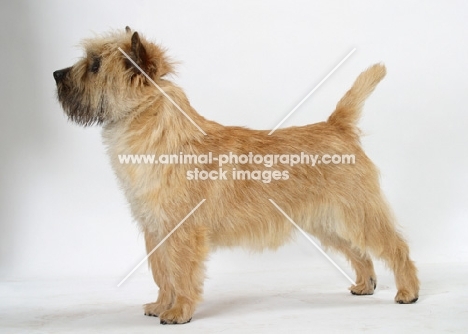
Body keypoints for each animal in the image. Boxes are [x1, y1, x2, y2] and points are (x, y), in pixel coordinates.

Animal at [54, 27, 420, 324]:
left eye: (95, 64)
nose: (56, 73)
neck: (159, 134)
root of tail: (337, 125)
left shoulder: (182, 230)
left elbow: (180, 272)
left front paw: (179, 311)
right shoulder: (155, 230)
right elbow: (162, 273)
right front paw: (160, 305)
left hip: (357, 212)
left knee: (395, 245)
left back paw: (408, 291)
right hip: (328, 221)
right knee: (360, 251)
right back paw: (365, 285)